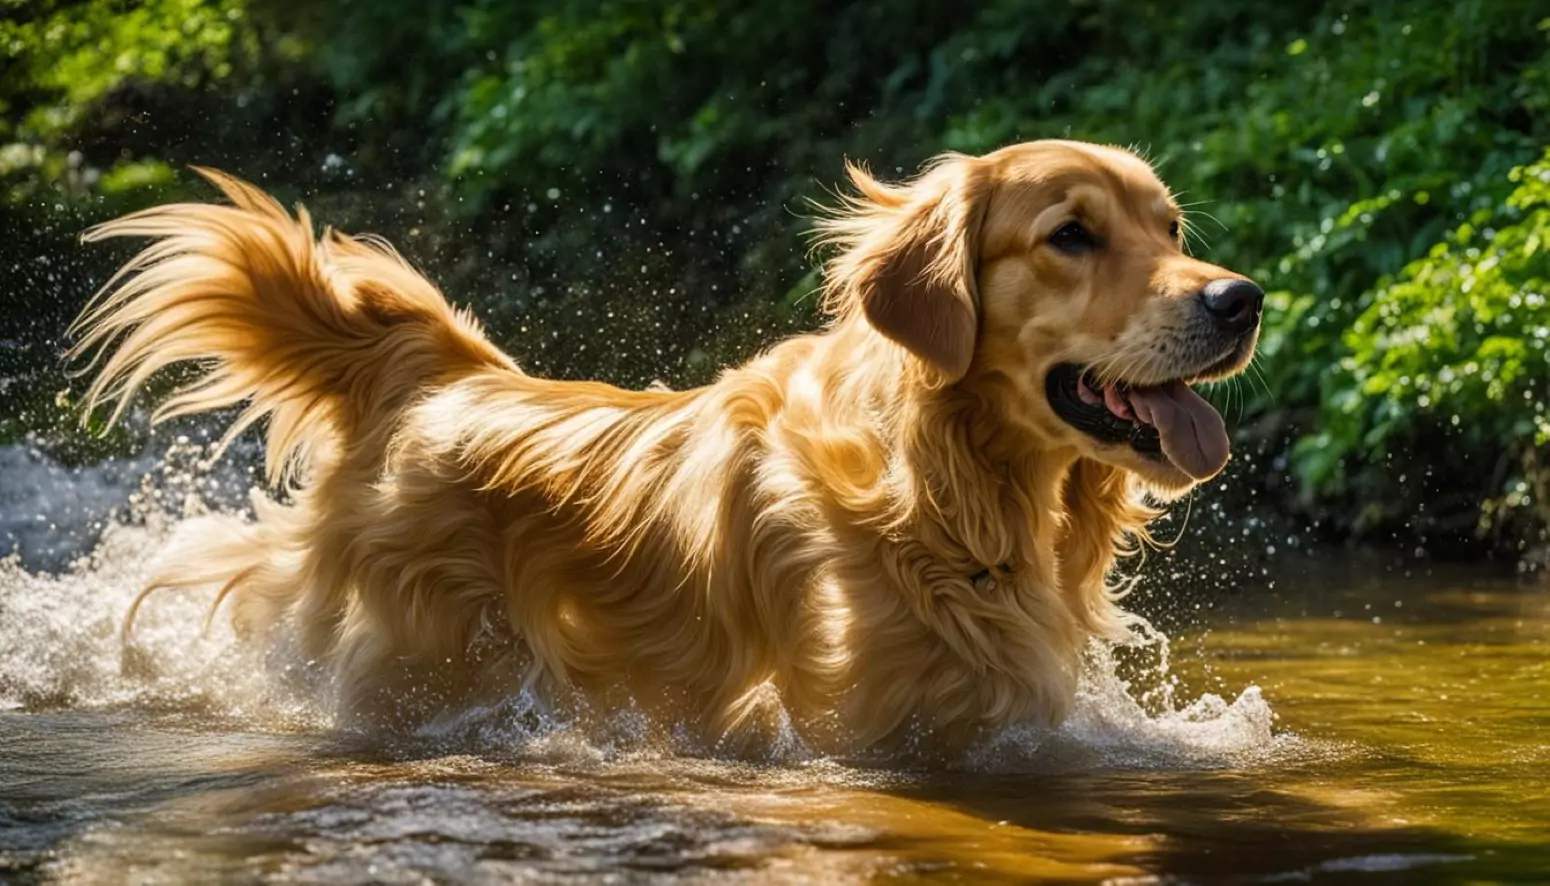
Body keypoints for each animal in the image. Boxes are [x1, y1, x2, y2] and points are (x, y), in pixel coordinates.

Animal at [69, 138, 1258, 755]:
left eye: (1168, 229)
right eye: (1071, 235)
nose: (1242, 299)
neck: (949, 489)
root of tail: (445, 373)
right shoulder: (858, 725)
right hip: (406, 672)